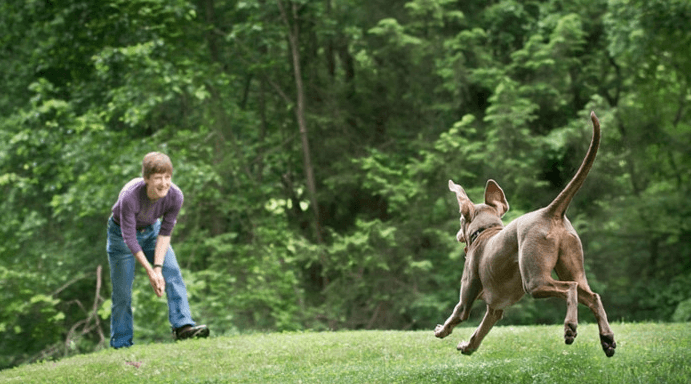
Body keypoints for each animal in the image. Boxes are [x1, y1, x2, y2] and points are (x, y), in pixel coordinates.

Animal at [436, 111, 620, 356]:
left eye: (460, 218)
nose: (457, 234)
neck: (485, 231)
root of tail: (549, 212)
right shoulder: (495, 308)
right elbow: (480, 332)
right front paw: (468, 347)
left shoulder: (466, 299)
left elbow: (456, 316)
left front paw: (441, 331)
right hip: (573, 266)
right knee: (593, 297)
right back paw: (607, 339)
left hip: (534, 280)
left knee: (569, 288)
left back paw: (570, 327)